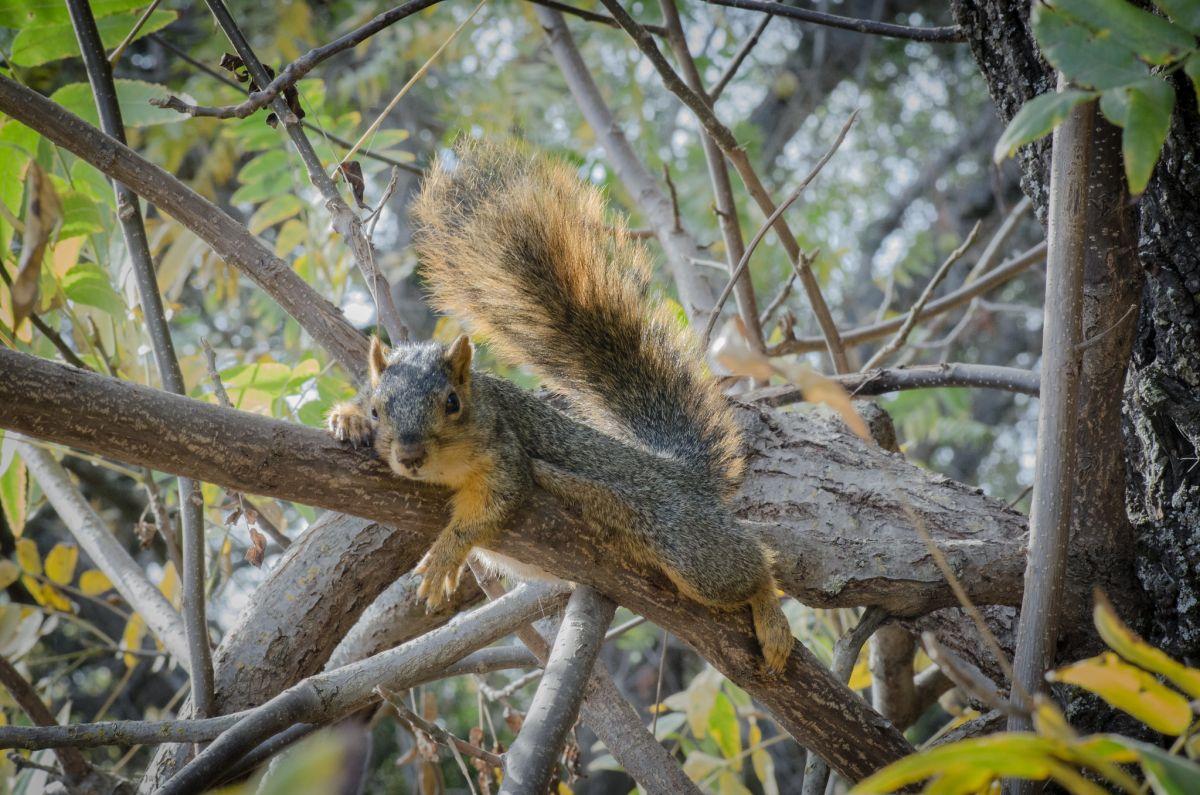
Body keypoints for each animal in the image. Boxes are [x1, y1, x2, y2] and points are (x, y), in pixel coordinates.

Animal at [328, 138, 796, 672]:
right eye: (377, 410)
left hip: (689, 546)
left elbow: (491, 507)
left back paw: (771, 618)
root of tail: (682, 475)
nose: (408, 457)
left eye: (452, 403)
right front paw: (346, 419)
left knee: (751, 567)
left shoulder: (505, 454)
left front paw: (447, 552)